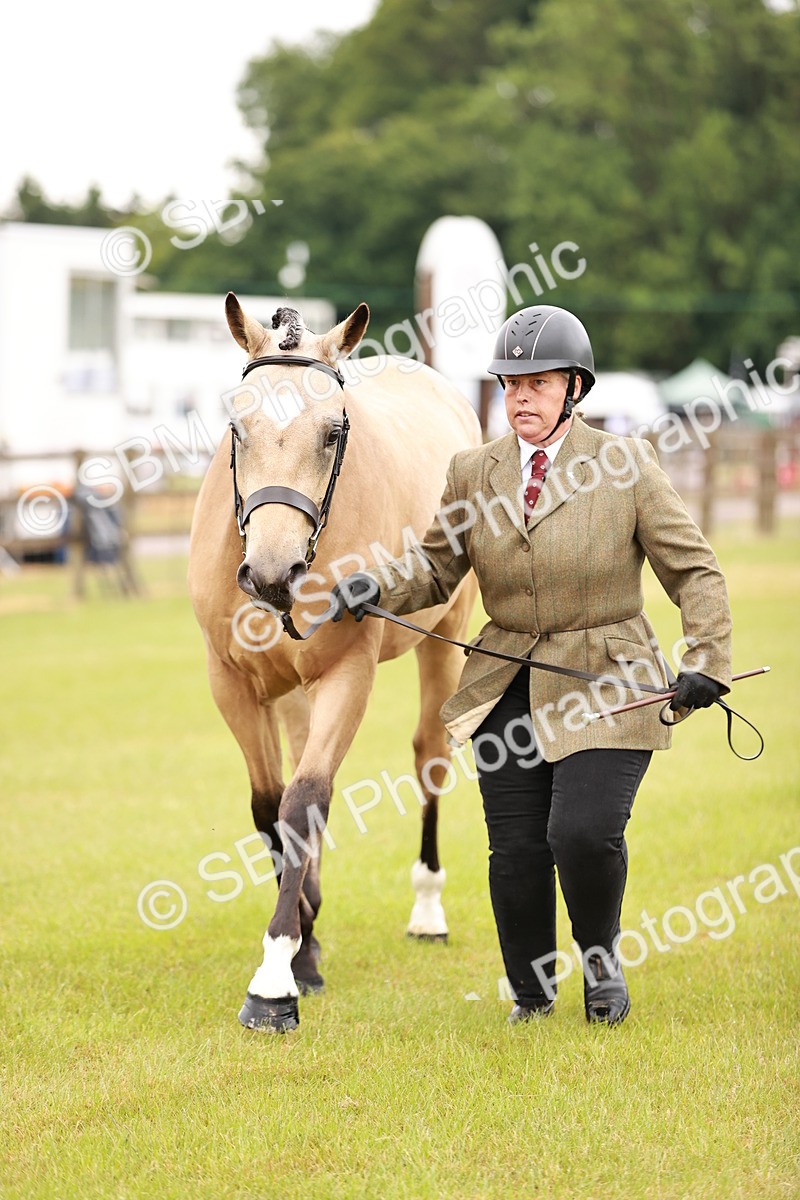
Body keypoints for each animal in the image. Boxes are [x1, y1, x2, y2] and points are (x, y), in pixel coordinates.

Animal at [187, 294, 481, 1032]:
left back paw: (427, 909)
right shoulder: (232, 684)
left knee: (430, 756)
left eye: (332, 431)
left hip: (444, 639)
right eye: (237, 427)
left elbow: (305, 802)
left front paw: (274, 979)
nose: (271, 574)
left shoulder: (349, 672)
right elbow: (270, 809)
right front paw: (305, 943)